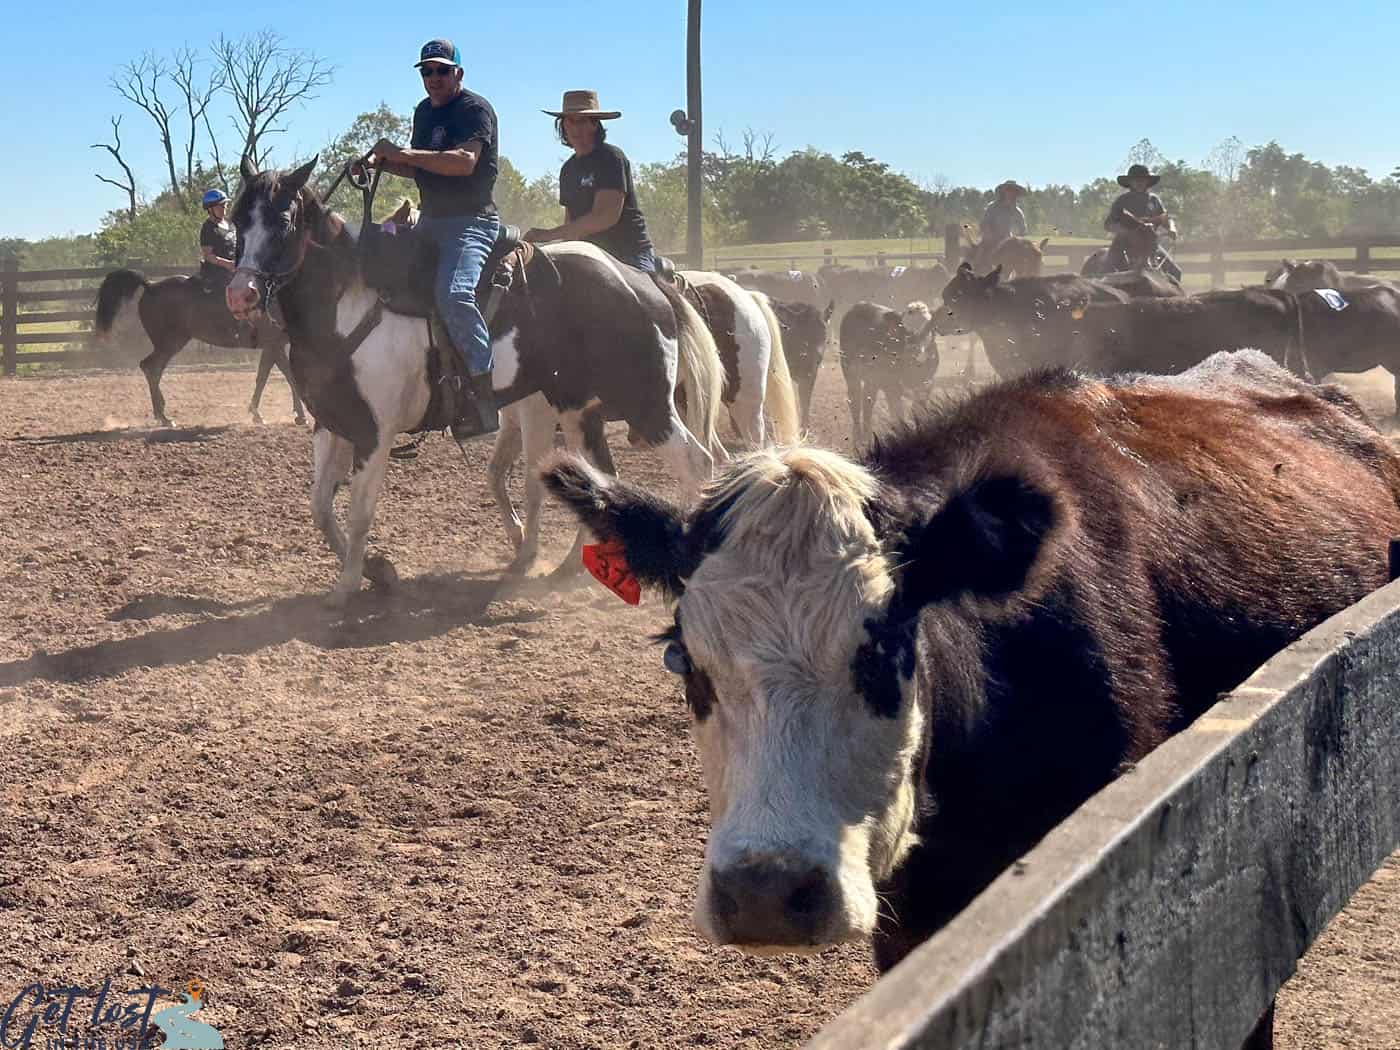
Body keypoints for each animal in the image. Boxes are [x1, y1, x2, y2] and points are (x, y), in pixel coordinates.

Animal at [224, 154, 728, 599]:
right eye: (238, 222)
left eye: (283, 222)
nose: (239, 294)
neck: (346, 304)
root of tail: (642, 283)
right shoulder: (331, 424)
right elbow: (320, 508)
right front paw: (378, 571)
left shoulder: (375, 433)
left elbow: (359, 512)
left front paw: (347, 587)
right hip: (577, 408)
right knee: (602, 477)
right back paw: (570, 568)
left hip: (647, 402)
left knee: (697, 462)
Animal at [840, 299, 940, 445]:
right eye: (903, 328)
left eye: (929, 327)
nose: (913, 349)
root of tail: (860, 304)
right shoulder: (892, 386)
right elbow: (898, 414)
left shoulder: (927, 385)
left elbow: (918, 411)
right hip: (851, 373)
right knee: (855, 402)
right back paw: (859, 439)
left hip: (872, 379)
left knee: (868, 402)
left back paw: (866, 437)